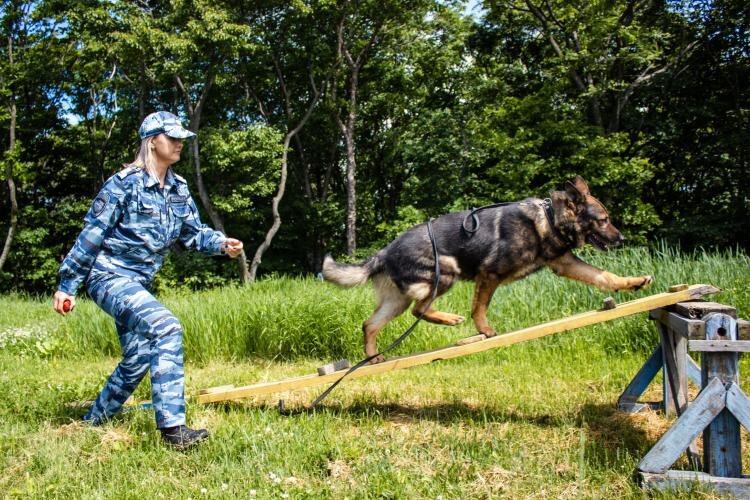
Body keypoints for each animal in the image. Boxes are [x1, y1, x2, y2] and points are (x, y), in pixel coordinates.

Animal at [324, 176, 652, 364]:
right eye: (603, 220)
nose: (622, 239)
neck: (548, 218)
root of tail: (385, 251)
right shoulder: (490, 275)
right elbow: (479, 307)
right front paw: (484, 330)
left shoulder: (565, 264)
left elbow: (604, 277)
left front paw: (634, 282)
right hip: (445, 273)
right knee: (419, 309)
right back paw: (449, 319)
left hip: (397, 301)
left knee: (370, 324)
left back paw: (373, 357)